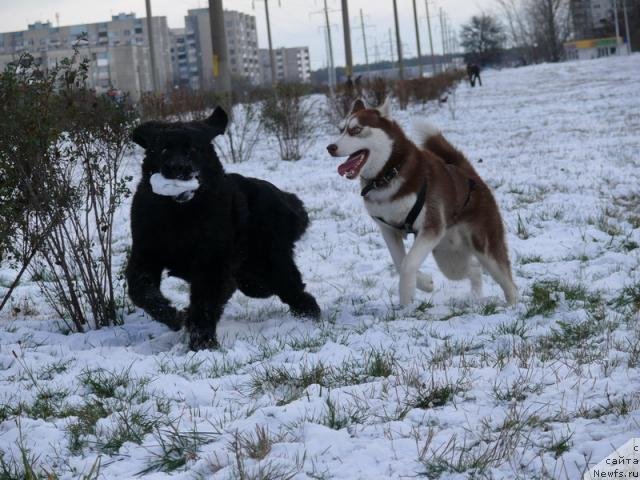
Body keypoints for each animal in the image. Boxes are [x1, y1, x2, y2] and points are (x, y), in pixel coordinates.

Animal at [126, 108, 320, 348]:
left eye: (193, 149)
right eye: (163, 149)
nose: (179, 168)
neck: (180, 215)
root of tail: (286, 197)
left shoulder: (212, 261)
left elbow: (205, 302)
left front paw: (202, 343)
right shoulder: (145, 254)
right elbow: (141, 291)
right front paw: (173, 317)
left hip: (269, 265)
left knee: (292, 288)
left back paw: (308, 317)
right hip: (251, 276)